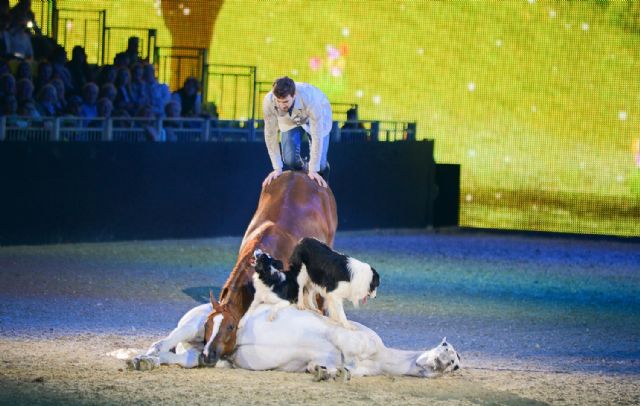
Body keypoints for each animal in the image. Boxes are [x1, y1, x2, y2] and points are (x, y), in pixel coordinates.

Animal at [127, 294, 460, 380]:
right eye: (445, 347)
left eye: (456, 363)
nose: (442, 364)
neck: (378, 357)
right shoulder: (345, 337)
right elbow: (344, 352)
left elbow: (331, 366)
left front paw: (323, 372)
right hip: (192, 329)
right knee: (159, 345)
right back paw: (140, 360)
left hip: (197, 354)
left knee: (178, 357)